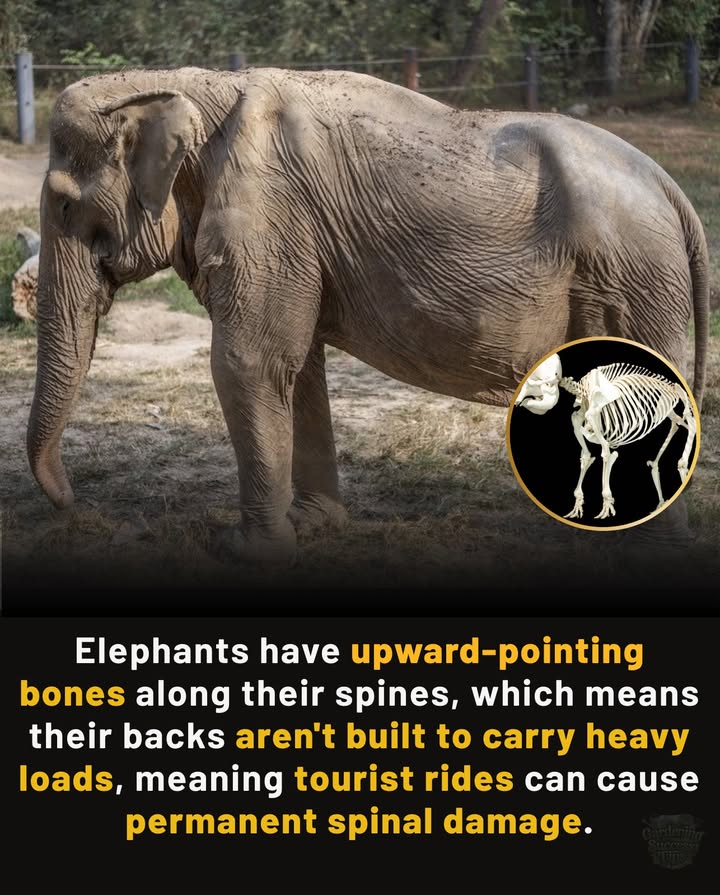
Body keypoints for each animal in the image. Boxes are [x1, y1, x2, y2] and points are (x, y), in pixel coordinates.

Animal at [27, 67, 709, 565]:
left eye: (63, 207)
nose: (72, 504)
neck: (187, 85)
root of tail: (675, 192)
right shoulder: (294, 239)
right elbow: (296, 367)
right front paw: (315, 526)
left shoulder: (268, 214)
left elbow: (249, 362)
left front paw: (246, 551)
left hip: (631, 278)